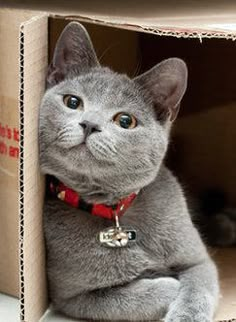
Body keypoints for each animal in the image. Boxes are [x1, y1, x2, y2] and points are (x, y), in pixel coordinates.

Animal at [39, 22, 219, 322]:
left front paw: (185, 314)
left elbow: (196, 287)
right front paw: (168, 284)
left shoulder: (199, 261)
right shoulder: (72, 299)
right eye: (72, 102)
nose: (89, 124)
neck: (114, 212)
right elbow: (133, 296)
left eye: (125, 121)